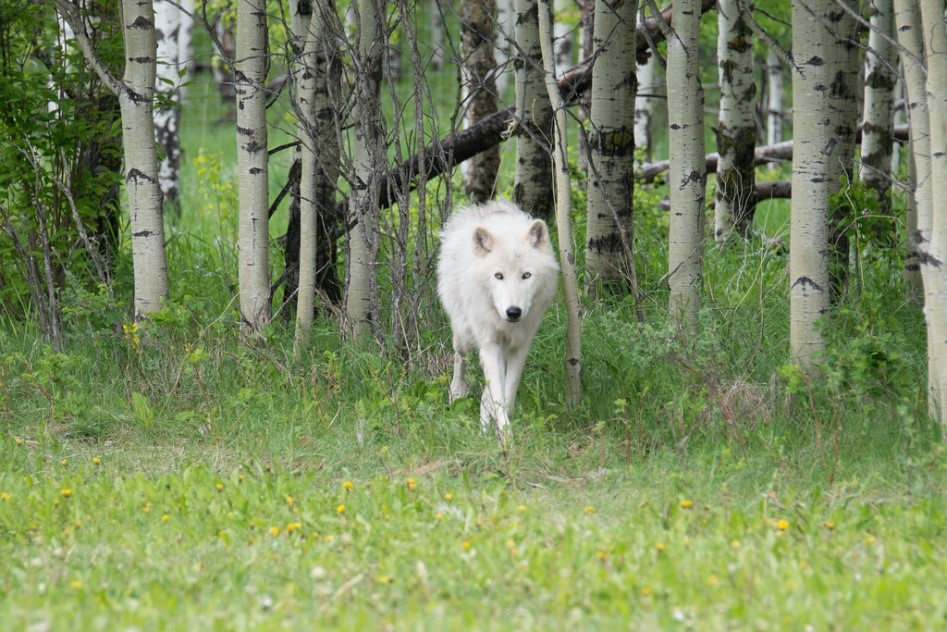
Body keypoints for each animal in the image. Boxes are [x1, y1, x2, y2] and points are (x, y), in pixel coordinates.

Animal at [436, 200, 560, 439]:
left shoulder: (519, 347)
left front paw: (500, 431)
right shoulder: (489, 345)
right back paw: (457, 393)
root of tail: (483, 208)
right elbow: (498, 397)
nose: (513, 312)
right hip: (465, 335)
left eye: (526, 275)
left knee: (487, 392)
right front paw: (506, 437)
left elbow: (506, 396)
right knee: (459, 358)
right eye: (498, 276)